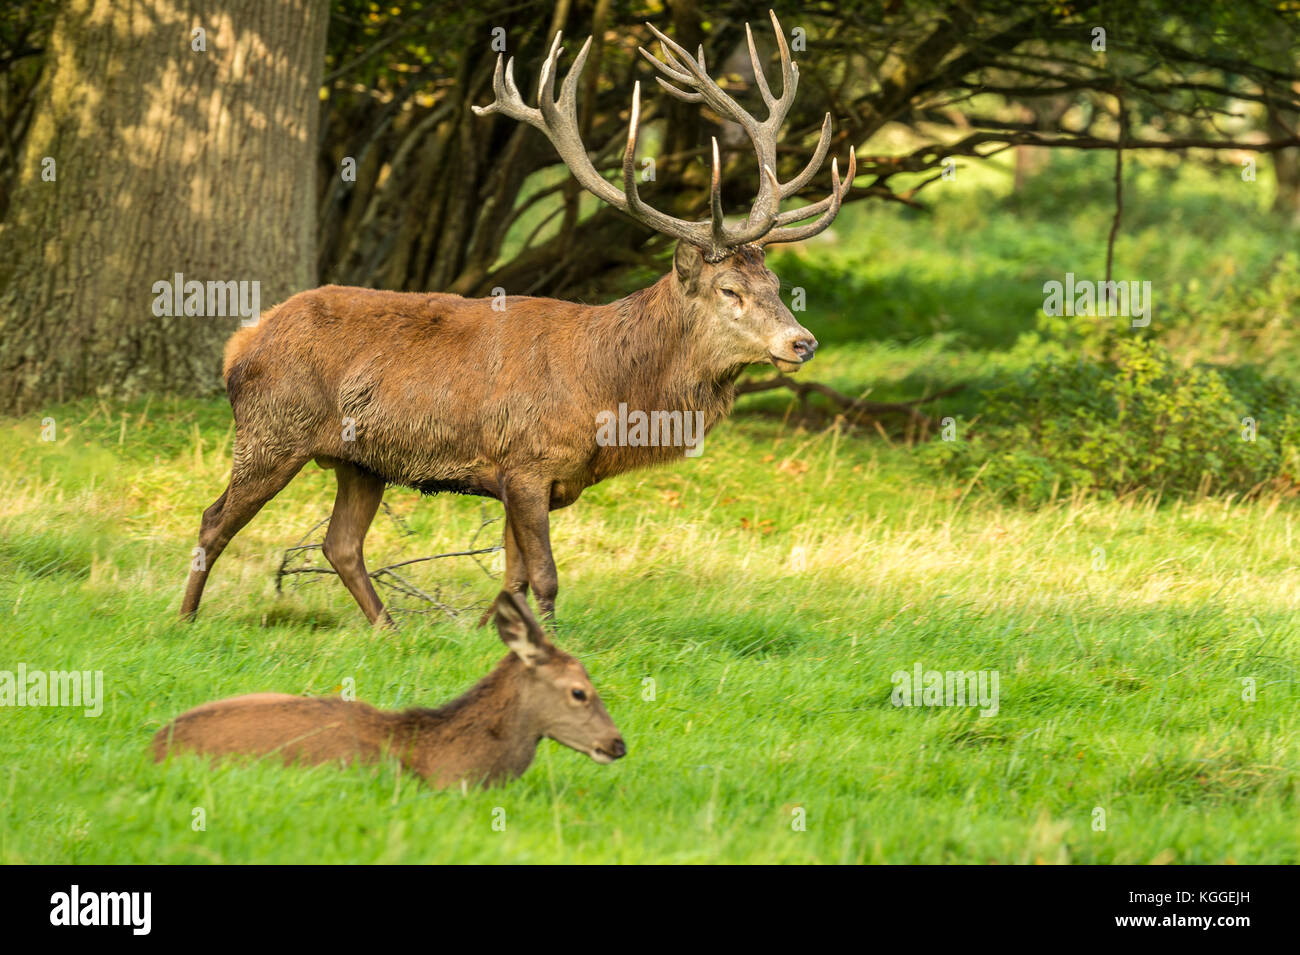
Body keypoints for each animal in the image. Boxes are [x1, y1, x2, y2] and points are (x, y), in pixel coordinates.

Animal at [178, 10, 854, 627]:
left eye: (775, 285)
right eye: (729, 289)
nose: (803, 343)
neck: (607, 393)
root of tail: (241, 341)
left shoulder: (530, 480)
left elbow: (514, 575)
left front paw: (487, 634)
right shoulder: (527, 462)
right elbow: (546, 576)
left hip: (359, 461)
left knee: (340, 543)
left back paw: (389, 630)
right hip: (273, 429)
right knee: (215, 520)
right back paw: (185, 618)